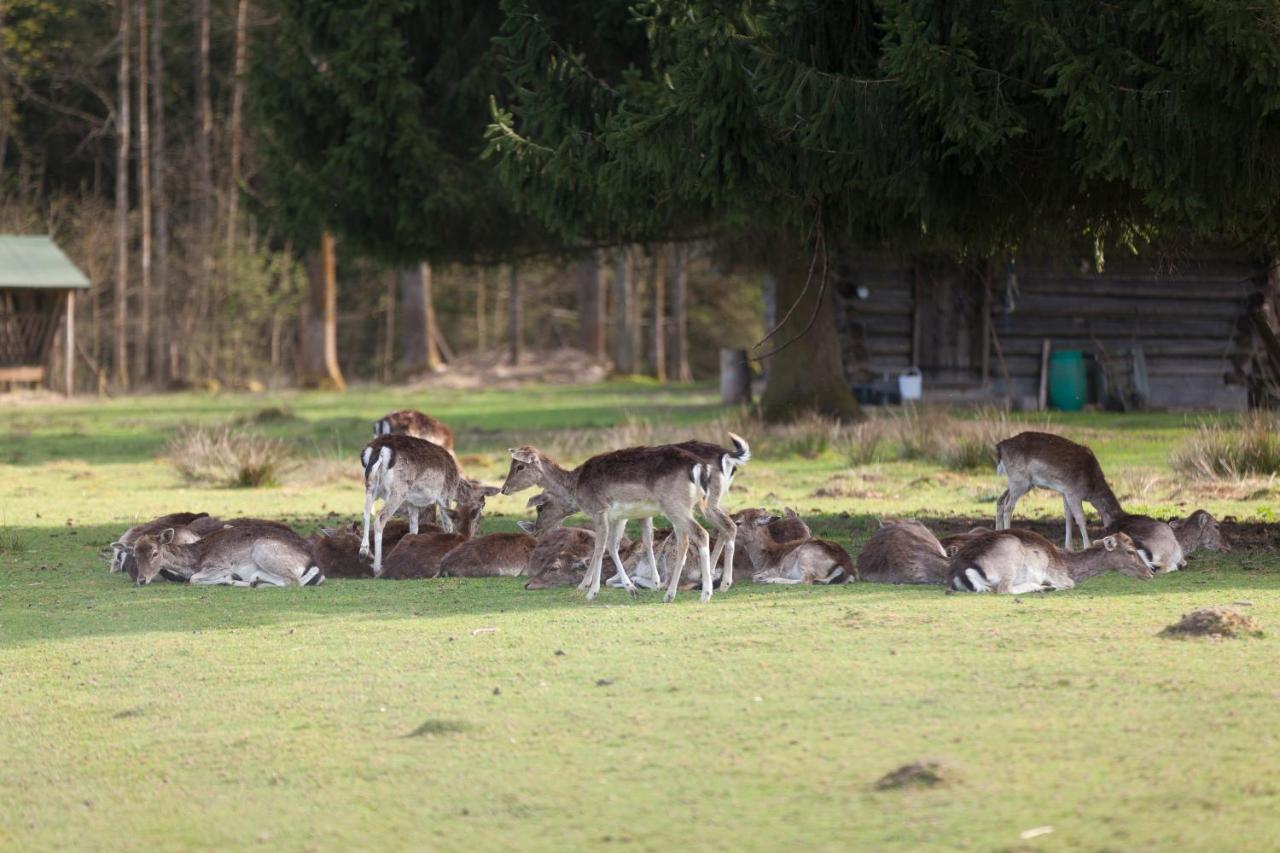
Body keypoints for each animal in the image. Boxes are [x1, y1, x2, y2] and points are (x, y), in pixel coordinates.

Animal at [363, 432, 501, 578]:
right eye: (483, 504)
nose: (479, 528)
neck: (456, 484)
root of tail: (378, 448)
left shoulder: (412, 502)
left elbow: (414, 528)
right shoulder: (445, 495)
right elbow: (448, 525)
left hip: (371, 486)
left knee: (366, 512)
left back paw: (363, 552)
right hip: (398, 490)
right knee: (380, 517)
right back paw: (377, 568)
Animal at [504, 440, 737, 601]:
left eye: (519, 467)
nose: (504, 488)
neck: (576, 486)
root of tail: (700, 466)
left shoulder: (599, 510)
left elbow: (599, 548)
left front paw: (590, 591)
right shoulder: (620, 516)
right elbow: (614, 546)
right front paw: (631, 588)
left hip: (676, 505)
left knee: (702, 533)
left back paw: (706, 593)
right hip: (696, 505)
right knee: (715, 530)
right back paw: (683, 591)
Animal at [947, 525, 1157, 591]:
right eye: (1130, 551)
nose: (1150, 573)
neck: (1068, 565)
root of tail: (960, 569)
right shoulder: (1059, 575)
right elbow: (1070, 584)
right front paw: (1050, 584)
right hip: (1009, 558)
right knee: (1003, 589)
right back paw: (1043, 587)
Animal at [988, 427, 1121, 548]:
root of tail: (1000, 447)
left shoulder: (1065, 492)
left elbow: (1068, 516)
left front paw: (1069, 547)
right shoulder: (1073, 493)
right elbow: (1080, 518)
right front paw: (1087, 546)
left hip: (1020, 482)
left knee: (1000, 500)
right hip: (1020, 481)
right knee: (1008, 507)